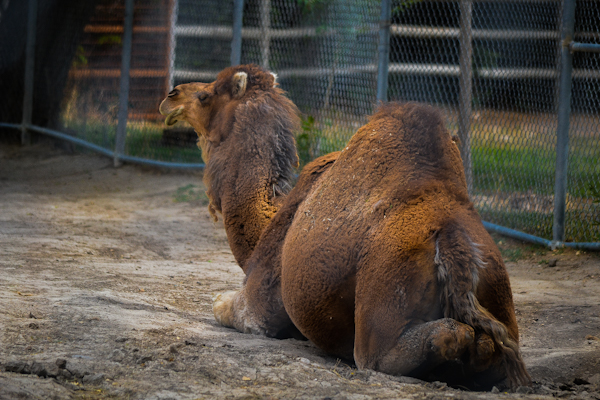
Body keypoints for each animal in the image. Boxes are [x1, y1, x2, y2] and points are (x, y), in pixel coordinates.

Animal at [159, 64, 528, 390]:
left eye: (205, 95)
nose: (171, 97)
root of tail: (452, 241)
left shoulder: (258, 303)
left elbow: (220, 303)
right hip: (498, 284)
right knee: (491, 344)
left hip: (385, 292)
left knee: (397, 350)